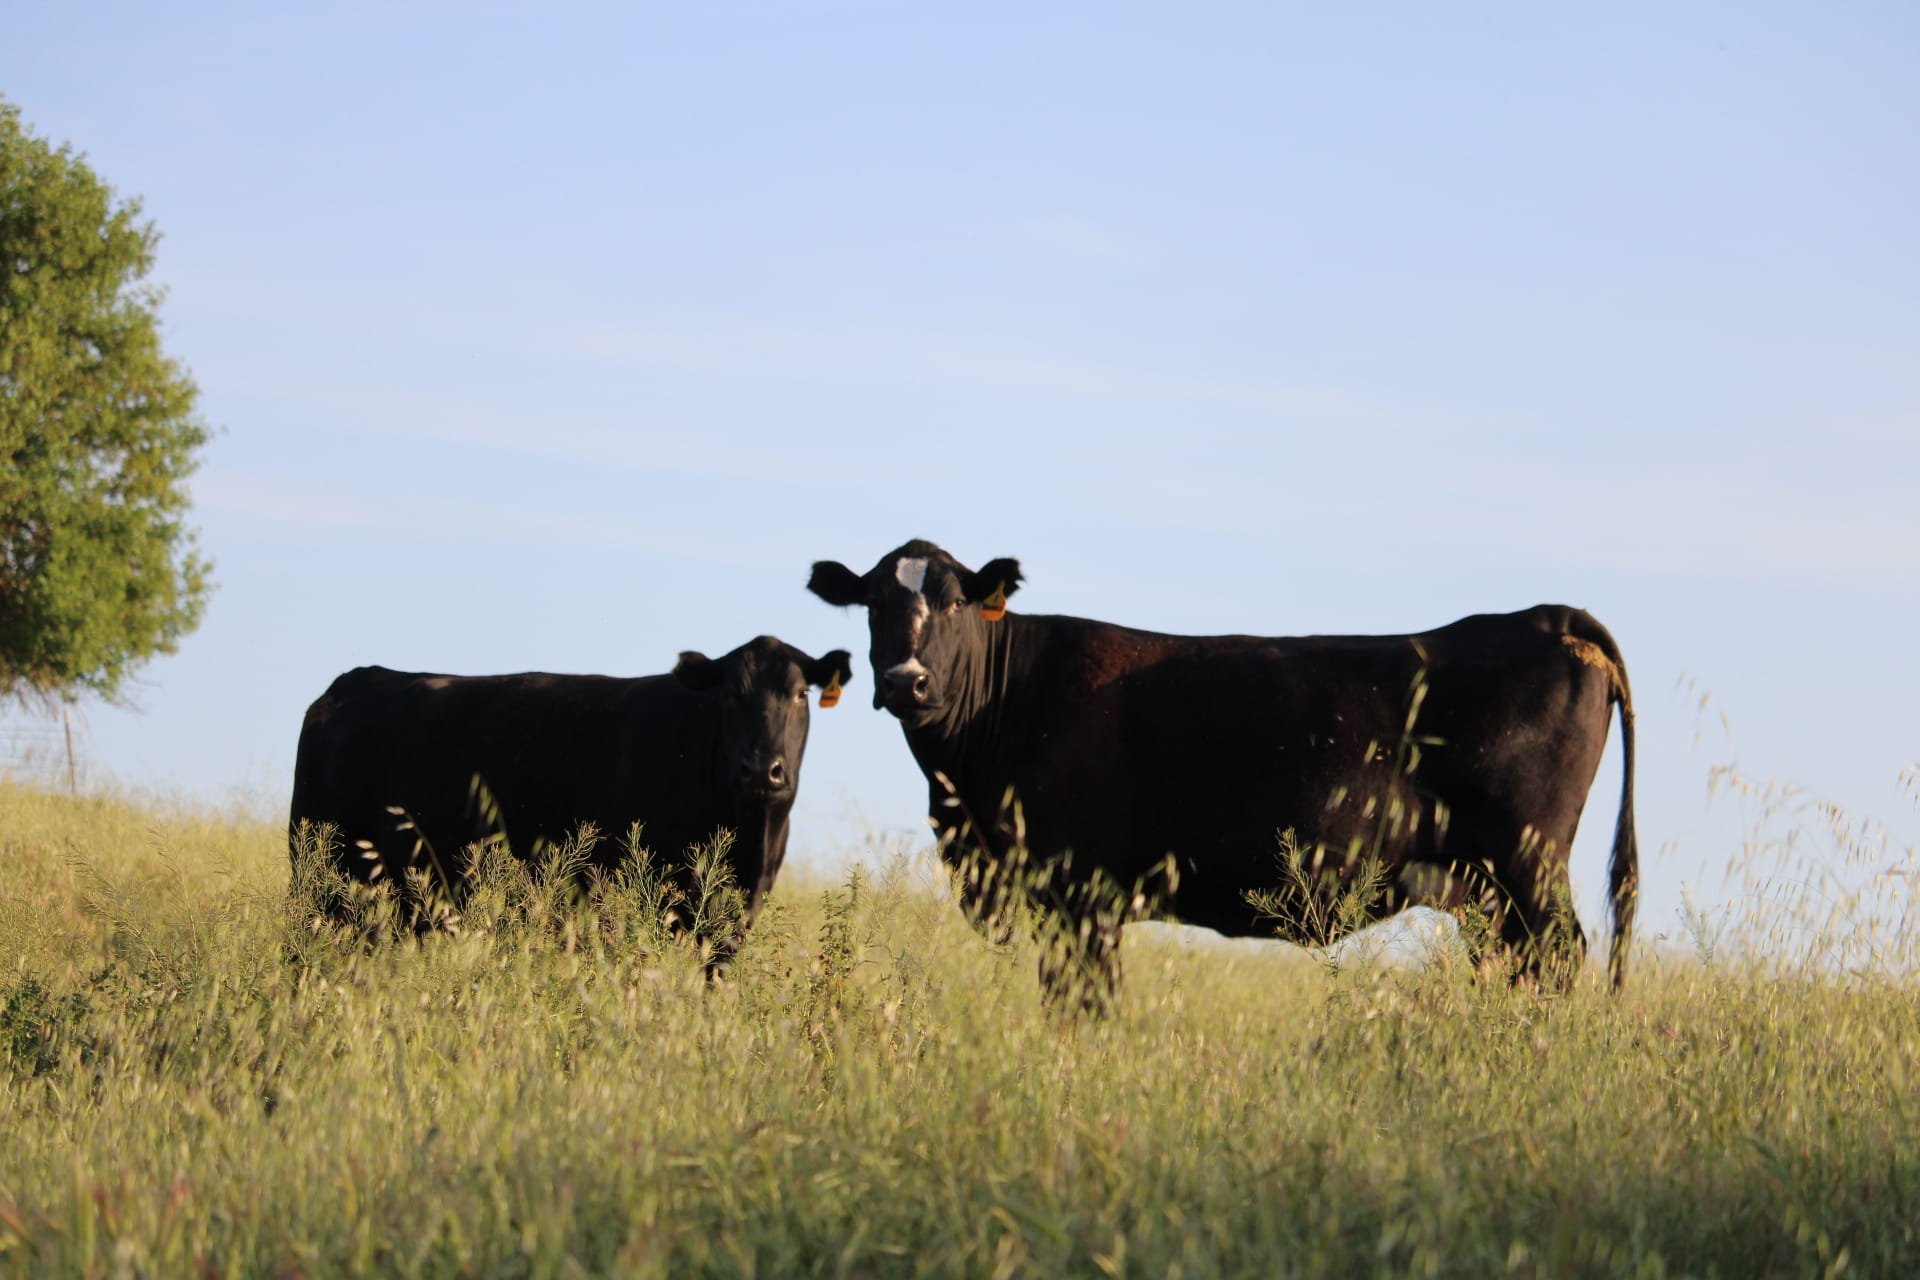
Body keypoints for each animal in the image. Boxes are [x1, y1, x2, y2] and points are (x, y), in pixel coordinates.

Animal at [807, 540, 1636, 1008]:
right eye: (873, 603)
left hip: (1529, 861)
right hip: (1488, 886)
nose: (906, 682)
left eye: (952, 602)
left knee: (1558, 958)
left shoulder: (1082, 894)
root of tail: (1545, 616)